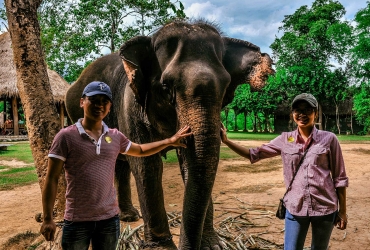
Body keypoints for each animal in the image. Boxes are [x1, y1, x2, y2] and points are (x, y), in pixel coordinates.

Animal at [65, 20, 274, 250]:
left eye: (227, 85)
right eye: (166, 86)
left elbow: (189, 164)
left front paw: (212, 245)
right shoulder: (129, 105)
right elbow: (147, 166)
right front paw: (162, 247)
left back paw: (129, 216)